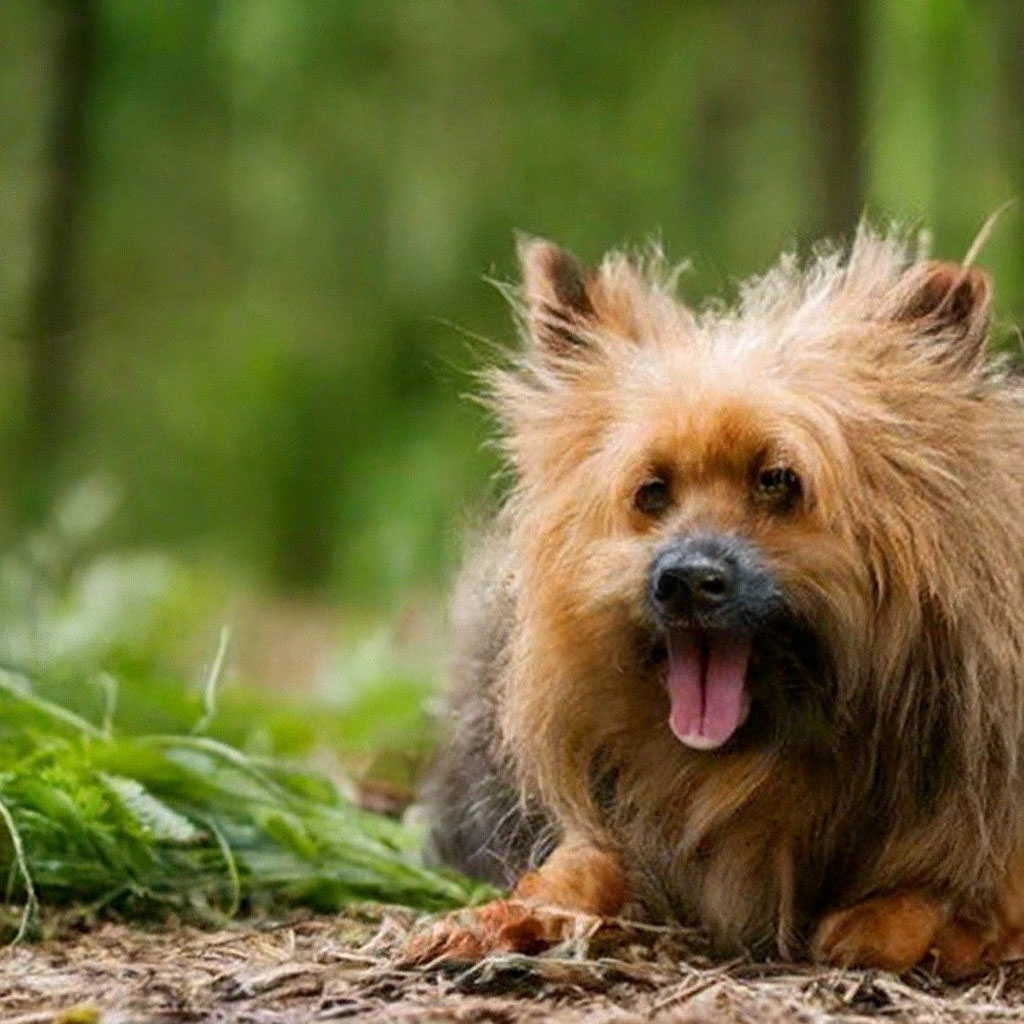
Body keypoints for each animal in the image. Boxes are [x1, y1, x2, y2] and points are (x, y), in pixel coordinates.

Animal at [417, 228, 1024, 970]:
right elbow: (577, 868)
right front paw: (494, 916)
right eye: (652, 492)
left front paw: (898, 918)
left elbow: (933, 899)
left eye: (778, 481)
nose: (685, 580)